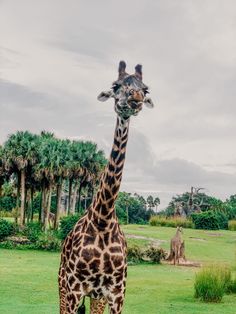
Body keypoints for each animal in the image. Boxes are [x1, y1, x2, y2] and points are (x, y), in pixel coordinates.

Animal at [58, 61, 155, 314]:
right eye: (115, 85)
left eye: (145, 89)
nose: (136, 98)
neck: (103, 219)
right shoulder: (74, 289)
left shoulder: (116, 292)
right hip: (62, 285)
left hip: (96, 296)